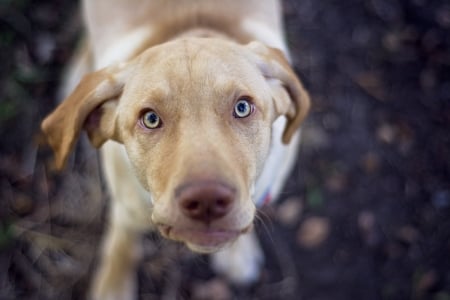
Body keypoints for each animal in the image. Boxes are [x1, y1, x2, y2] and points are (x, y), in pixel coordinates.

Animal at [41, 1, 310, 298]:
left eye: (242, 107)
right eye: (150, 118)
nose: (206, 200)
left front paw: (237, 253)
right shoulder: (126, 209)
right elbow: (122, 247)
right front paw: (113, 286)